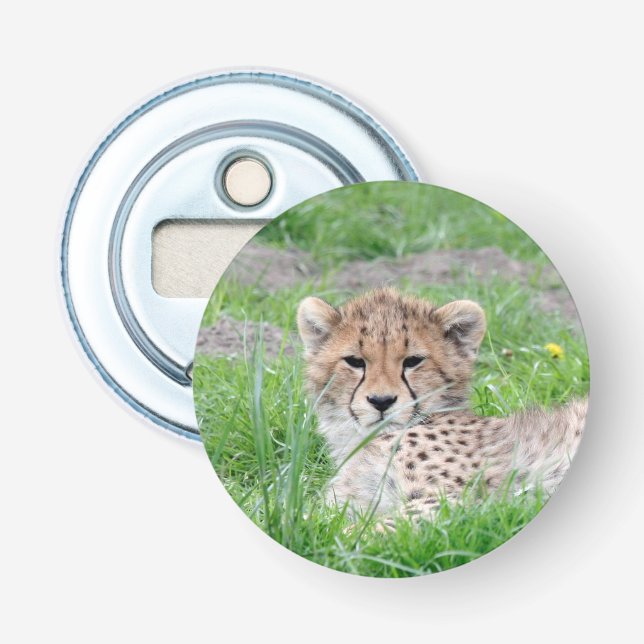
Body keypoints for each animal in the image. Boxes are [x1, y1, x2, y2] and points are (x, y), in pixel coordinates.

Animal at [297, 287, 587, 519]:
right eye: (355, 361)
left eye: (413, 361)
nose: (381, 401)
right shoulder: (345, 504)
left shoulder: (452, 501)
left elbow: (367, 532)